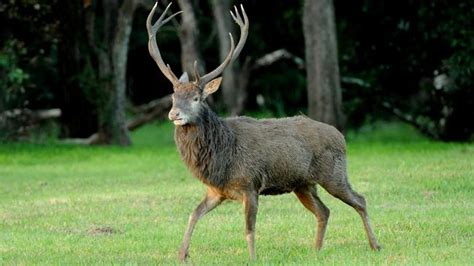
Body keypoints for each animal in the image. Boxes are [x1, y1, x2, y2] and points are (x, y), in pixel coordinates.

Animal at [146, 1, 380, 262]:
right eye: (173, 96)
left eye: (196, 98)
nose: (174, 114)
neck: (221, 158)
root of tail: (341, 136)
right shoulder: (216, 191)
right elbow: (193, 214)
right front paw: (182, 254)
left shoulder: (250, 184)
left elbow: (249, 228)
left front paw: (252, 259)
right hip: (303, 184)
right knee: (324, 211)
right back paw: (316, 250)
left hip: (334, 174)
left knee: (360, 200)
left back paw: (375, 245)